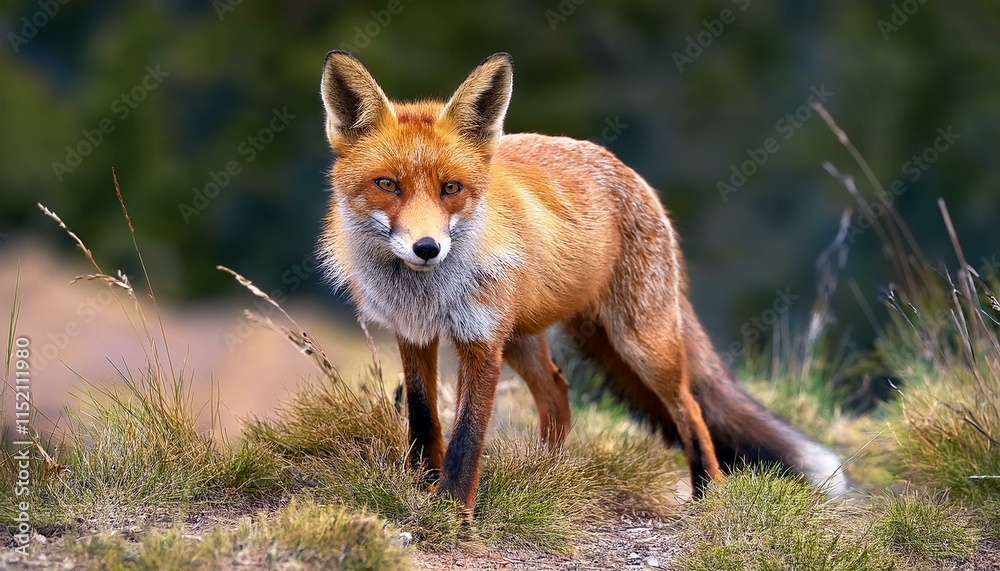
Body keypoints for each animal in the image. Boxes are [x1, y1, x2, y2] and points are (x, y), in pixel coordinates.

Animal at [317, 50, 848, 513]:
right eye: (388, 185)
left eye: (452, 188)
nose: (427, 248)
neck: (426, 294)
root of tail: (633, 176)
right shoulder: (414, 333)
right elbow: (425, 419)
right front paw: (423, 486)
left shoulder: (481, 342)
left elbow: (467, 437)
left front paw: (452, 514)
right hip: (527, 338)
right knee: (558, 392)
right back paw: (545, 474)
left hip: (640, 344)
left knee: (690, 407)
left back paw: (706, 493)